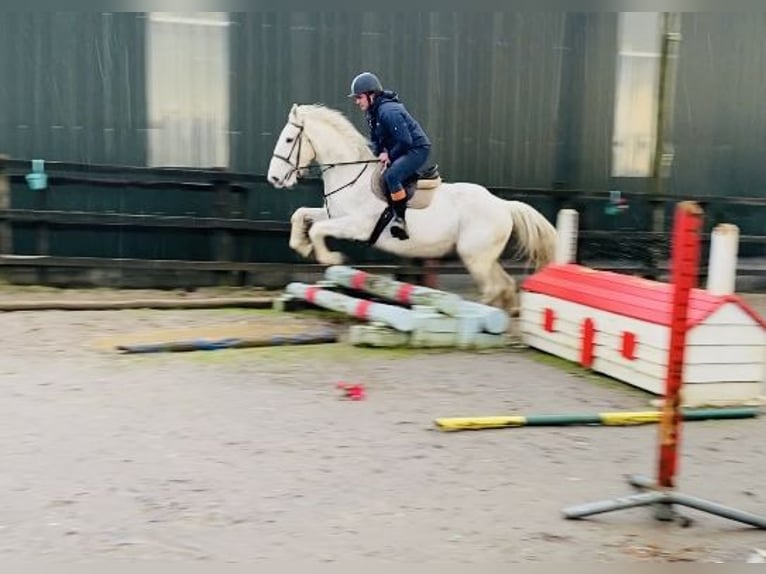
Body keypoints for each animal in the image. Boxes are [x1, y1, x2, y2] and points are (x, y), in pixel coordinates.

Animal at [268, 101, 556, 312]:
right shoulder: (333, 215)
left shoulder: (356, 226)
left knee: (493, 288)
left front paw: (332, 258)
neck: (350, 175)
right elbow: (301, 216)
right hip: (482, 256)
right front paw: (302, 246)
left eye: (288, 140)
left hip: (475, 256)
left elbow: (317, 230)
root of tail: (503, 205)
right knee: (503, 285)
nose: (273, 178)